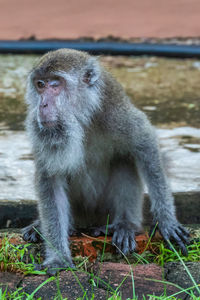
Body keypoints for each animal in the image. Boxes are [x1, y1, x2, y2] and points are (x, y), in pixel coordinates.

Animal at [22, 48, 190, 274]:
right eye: (40, 84)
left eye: (55, 84)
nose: (43, 105)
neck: (81, 118)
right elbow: (50, 179)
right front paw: (58, 257)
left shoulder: (115, 114)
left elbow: (145, 143)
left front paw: (166, 220)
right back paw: (43, 226)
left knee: (124, 159)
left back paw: (124, 225)